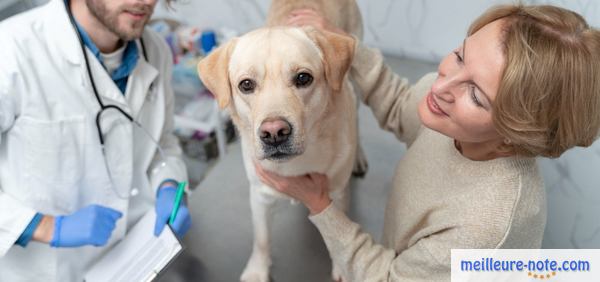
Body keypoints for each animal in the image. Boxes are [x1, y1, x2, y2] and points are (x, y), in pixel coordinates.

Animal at [199, 1, 364, 280]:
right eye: (246, 85)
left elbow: (339, 240)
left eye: (303, 78)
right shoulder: (260, 195)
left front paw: (343, 268)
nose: (274, 132)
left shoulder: (339, 194)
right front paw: (257, 270)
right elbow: (261, 239)